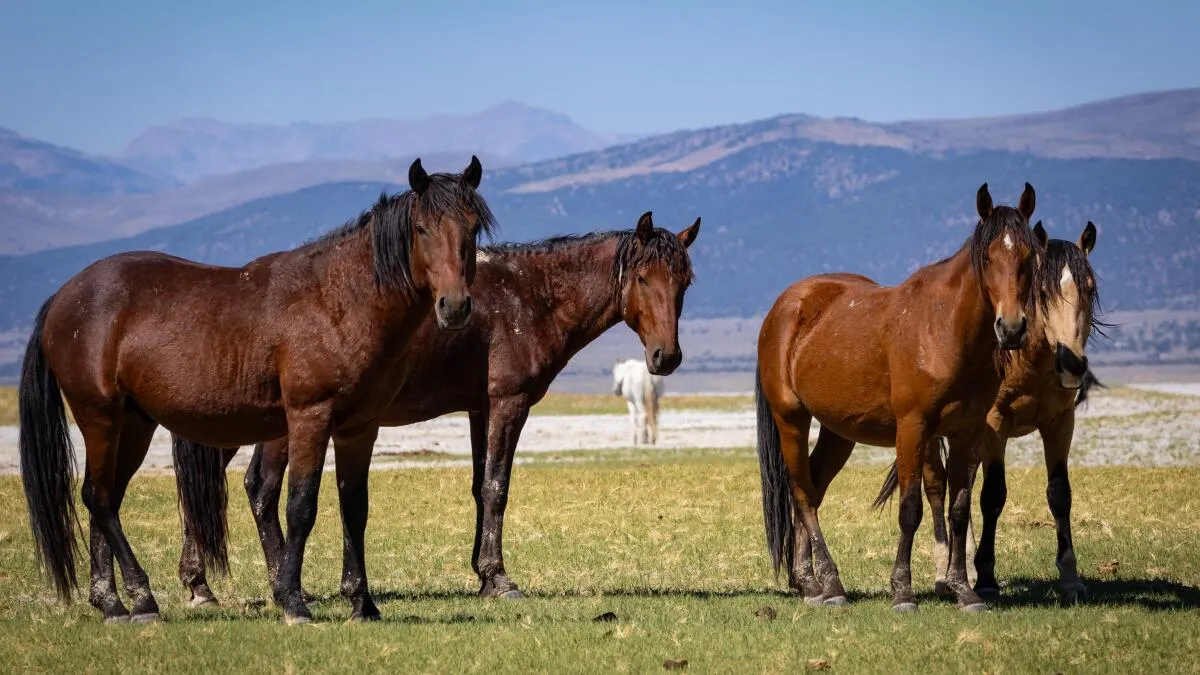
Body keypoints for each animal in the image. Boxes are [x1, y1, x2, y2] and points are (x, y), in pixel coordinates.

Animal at [18, 156, 494, 625]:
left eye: (472, 228)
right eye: (422, 229)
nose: (455, 306)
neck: (338, 301)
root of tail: (64, 296)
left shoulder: (360, 427)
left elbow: (354, 508)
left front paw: (362, 604)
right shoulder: (309, 417)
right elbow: (301, 506)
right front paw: (293, 602)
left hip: (133, 424)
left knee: (106, 499)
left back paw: (113, 603)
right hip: (99, 416)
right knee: (98, 498)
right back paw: (141, 600)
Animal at [170, 211, 701, 606]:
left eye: (685, 282)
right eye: (642, 277)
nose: (666, 357)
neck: (529, 297)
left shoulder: (479, 410)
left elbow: (479, 487)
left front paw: (483, 576)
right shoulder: (508, 404)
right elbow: (496, 487)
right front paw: (499, 579)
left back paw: (202, 585)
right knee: (257, 490)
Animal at [756, 182, 1045, 613]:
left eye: (1028, 256)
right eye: (988, 257)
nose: (1011, 328)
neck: (945, 328)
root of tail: (785, 306)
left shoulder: (968, 430)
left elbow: (959, 508)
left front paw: (964, 590)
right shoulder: (913, 427)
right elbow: (911, 509)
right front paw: (903, 591)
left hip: (838, 433)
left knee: (813, 489)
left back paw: (809, 582)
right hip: (791, 417)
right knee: (803, 494)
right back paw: (829, 585)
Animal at [872, 221, 1104, 604]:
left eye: (1090, 287)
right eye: (1042, 291)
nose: (1072, 364)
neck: (1029, 359)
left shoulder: (1060, 423)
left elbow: (1059, 493)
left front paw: (1070, 577)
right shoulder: (995, 424)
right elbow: (992, 495)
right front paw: (985, 577)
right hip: (931, 434)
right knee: (937, 488)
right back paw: (944, 573)